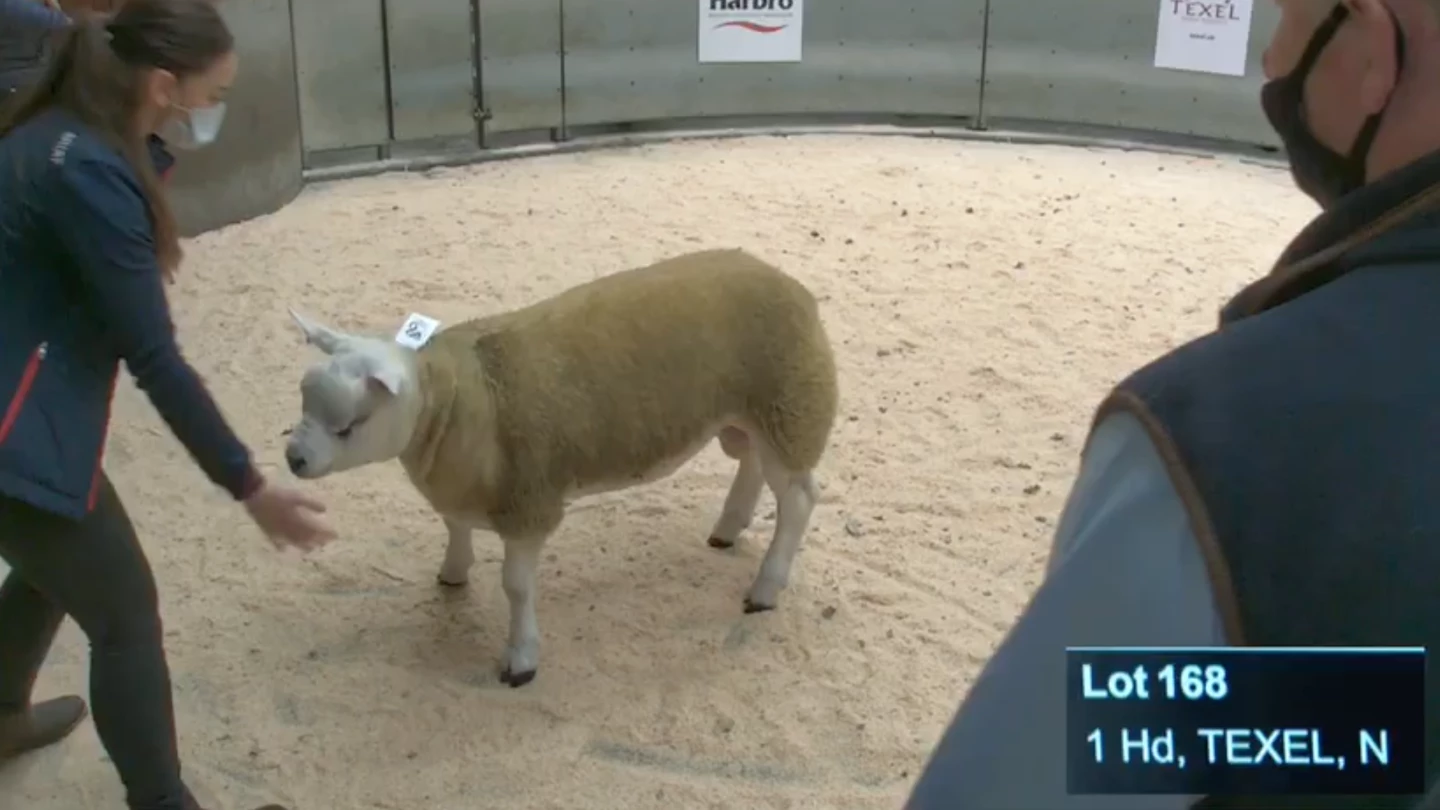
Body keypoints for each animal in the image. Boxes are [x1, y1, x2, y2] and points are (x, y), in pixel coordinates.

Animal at [282, 248, 839, 687]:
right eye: (304, 400)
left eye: (348, 425)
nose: (294, 459)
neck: (458, 399)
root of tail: (793, 285)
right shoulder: (461, 487)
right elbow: (455, 528)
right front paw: (453, 573)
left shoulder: (529, 503)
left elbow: (516, 586)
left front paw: (521, 659)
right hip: (751, 416)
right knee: (752, 464)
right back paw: (729, 526)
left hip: (791, 405)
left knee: (798, 499)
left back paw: (765, 588)